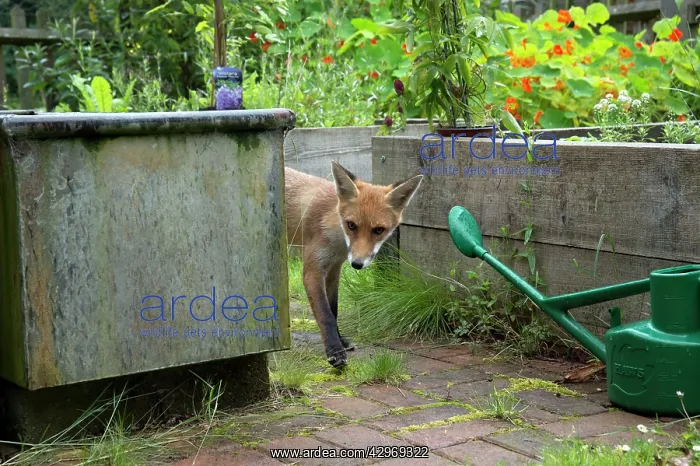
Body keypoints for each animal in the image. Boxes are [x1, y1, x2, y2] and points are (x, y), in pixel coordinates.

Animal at [284, 161, 423, 368]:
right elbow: (325, 315)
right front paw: (335, 351)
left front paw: (340, 341)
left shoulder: (334, 268)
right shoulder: (313, 270)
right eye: (351, 225)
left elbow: (334, 310)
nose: (357, 264)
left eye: (379, 230)